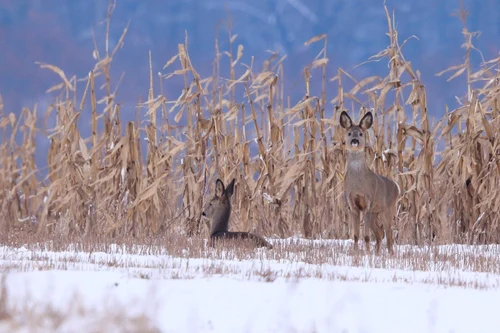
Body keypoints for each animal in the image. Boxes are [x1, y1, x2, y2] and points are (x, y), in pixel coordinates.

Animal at [338, 111, 400, 254]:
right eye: (349, 133)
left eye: (361, 133)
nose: (355, 140)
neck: (358, 184)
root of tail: (397, 186)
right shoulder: (352, 204)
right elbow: (356, 235)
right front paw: (356, 252)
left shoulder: (368, 202)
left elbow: (366, 236)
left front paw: (366, 253)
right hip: (375, 213)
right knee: (380, 233)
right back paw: (377, 254)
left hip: (388, 208)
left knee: (389, 233)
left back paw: (390, 254)